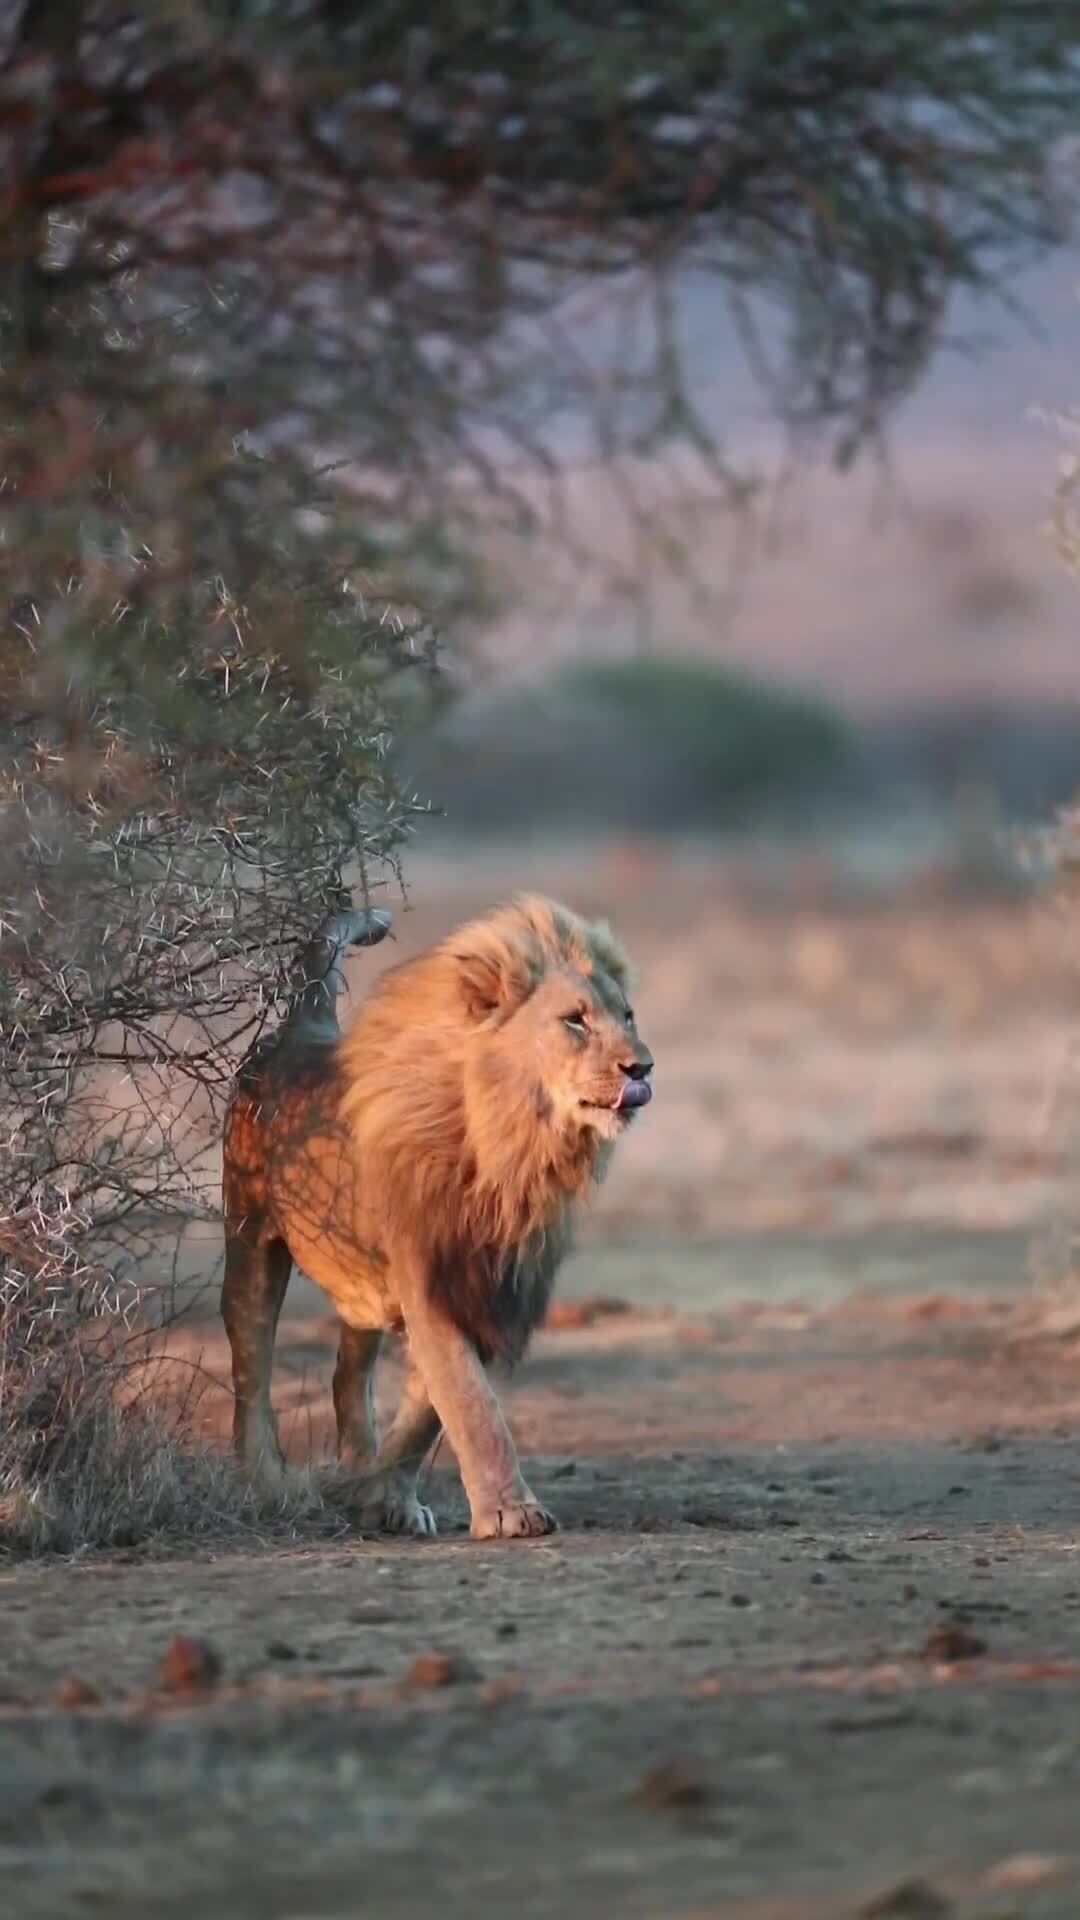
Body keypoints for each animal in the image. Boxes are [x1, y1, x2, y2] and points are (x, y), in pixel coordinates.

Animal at [220, 890, 645, 1536]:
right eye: (575, 1020)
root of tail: (304, 1025)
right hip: (249, 1239)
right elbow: (470, 1402)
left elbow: (427, 1411)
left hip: (360, 1291)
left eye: (628, 1017)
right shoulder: (429, 1277)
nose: (641, 1068)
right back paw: (264, 1482)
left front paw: (380, 1495)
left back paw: (359, 1468)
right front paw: (511, 1512)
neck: (511, 1145)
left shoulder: (490, 1284)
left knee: (347, 1374)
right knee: (251, 1361)